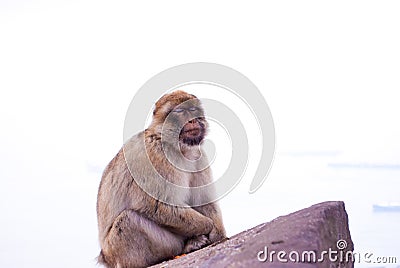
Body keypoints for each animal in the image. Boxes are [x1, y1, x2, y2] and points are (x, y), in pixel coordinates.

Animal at [95, 90, 227, 268]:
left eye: (193, 109)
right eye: (179, 111)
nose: (192, 119)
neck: (175, 146)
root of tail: (105, 258)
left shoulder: (198, 156)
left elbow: (204, 201)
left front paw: (218, 233)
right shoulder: (154, 155)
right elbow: (156, 204)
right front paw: (209, 227)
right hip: (120, 251)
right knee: (127, 220)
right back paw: (187, 246)